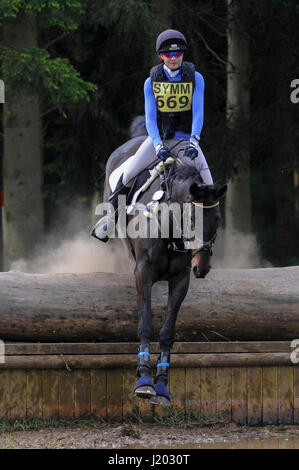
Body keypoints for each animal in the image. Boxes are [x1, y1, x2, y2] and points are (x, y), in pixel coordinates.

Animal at [101, 127, 227, 404]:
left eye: (217, 220)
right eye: (192, 218)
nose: (202, 267)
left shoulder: (181, 279)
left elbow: (168, 330)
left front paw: (161, 383)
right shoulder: (143, 272)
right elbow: (146, 323)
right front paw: (144, 380)